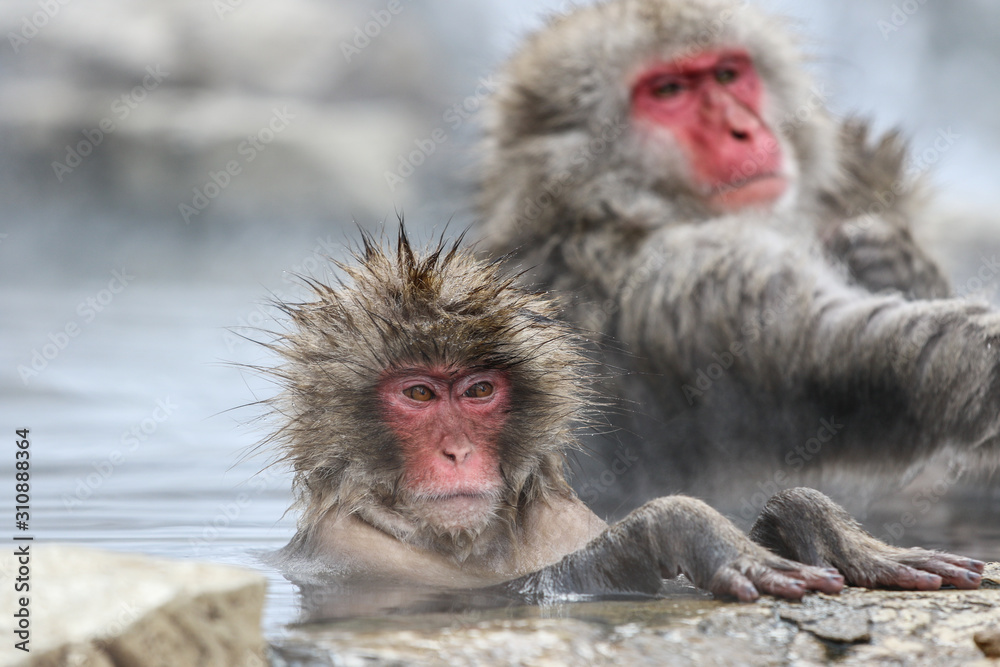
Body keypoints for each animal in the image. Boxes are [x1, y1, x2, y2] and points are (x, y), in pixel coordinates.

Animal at [262, 230, 980, 604]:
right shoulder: (352, 553)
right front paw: (679, 526)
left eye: (476, 390)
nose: (457, 453)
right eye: (418, 394)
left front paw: (830, 529)